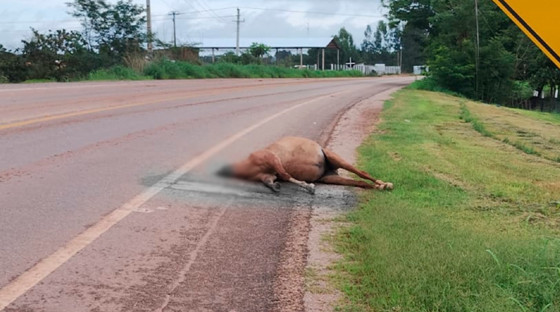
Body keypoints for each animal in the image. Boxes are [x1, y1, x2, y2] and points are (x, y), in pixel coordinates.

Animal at [217, 136, 392, 193]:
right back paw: (380, 186)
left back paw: (385, 184)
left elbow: (285, 175)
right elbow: (274, 180)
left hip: (335, 158)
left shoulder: (272, 159)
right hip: (329, 177)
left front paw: (308, 187)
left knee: (362, 173)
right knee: (360, 182)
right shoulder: (267, 174)